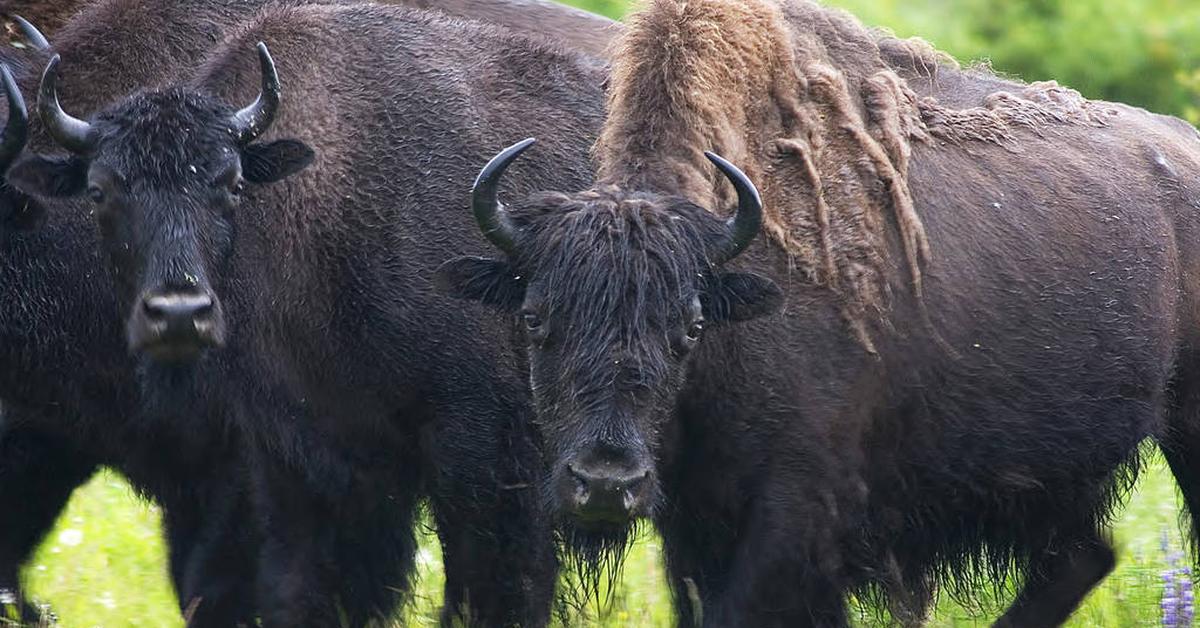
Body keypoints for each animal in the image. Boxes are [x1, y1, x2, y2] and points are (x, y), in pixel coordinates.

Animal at [436, 0, 1200, 624]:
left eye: (690, 328)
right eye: (534, 319)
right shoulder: (694, 520)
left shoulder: (793, 512)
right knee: (1084, 557)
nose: (604, 483)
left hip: (1178, 432)